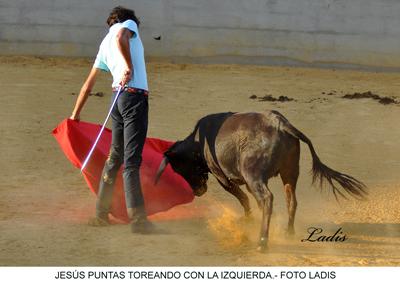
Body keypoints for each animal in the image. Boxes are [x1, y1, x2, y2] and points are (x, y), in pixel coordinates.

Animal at [155, 111, 368, 251]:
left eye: (180, 168)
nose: (198, 192)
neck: (199, 143)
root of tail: (281, 124)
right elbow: (251, 198)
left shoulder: (224, 177)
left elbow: (243, 198)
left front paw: (248, 218)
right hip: (290, 173)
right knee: (290, 200)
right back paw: (288, 232)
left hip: (253, 174)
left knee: (267, 198)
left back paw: (262, 241)